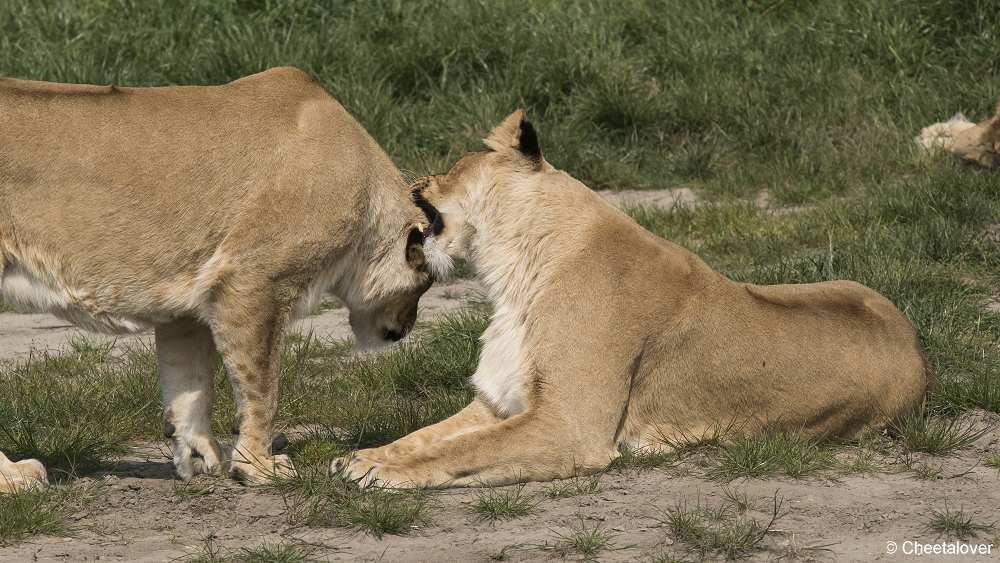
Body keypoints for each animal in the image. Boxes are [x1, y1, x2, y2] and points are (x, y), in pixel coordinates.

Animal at [0, 66, 446, 494]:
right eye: (424, 287)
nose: (406, 329)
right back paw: (16, 478)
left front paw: (201, 458)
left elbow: (190, 385)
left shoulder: (186, 304)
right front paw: (258, 466)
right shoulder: (253, 281)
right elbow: (262, 387)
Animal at [340, 110, 932, 490]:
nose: (415, 180)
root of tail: (917, 348)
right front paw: (362, 458)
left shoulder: (571, 426)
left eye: (452, 166)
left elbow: (466, 449)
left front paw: (381, 473)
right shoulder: (499, 402)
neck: (513, 272)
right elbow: (425, 437)